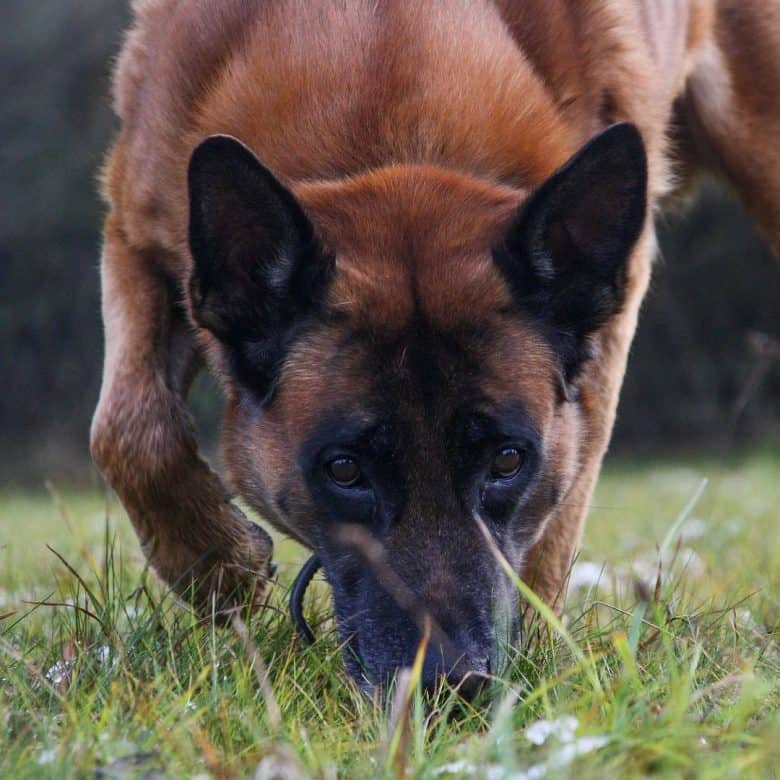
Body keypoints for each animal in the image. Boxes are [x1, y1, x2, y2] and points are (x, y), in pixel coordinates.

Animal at [93, 0, 780, 696]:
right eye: (344, 469)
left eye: (507, 460)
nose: (454, 685)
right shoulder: (134, 238)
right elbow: (129, 434)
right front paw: (218, 569)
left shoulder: (612, 320)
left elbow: (559, 512)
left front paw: (535, 663)